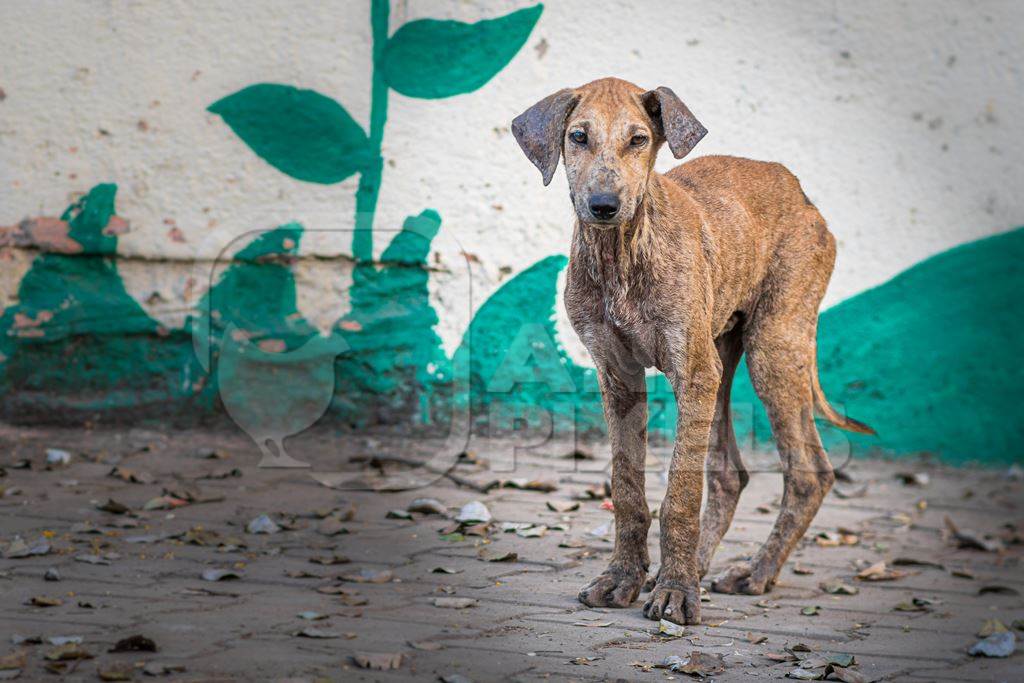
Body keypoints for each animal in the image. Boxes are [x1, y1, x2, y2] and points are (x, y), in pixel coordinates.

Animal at [509, 78, 872, 626]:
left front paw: (677, 593)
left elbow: (679, 494)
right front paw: (625, 578)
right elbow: (627, 488)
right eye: (577, 136)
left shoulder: (692, 372)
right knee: (728, 475)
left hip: (773, 347)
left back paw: (753, 573)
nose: (603, 205)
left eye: (639, 140)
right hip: (723, 355)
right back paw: (695, 568)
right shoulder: (618, 378)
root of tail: (799, 191)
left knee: (809, 473)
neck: (622, 252)